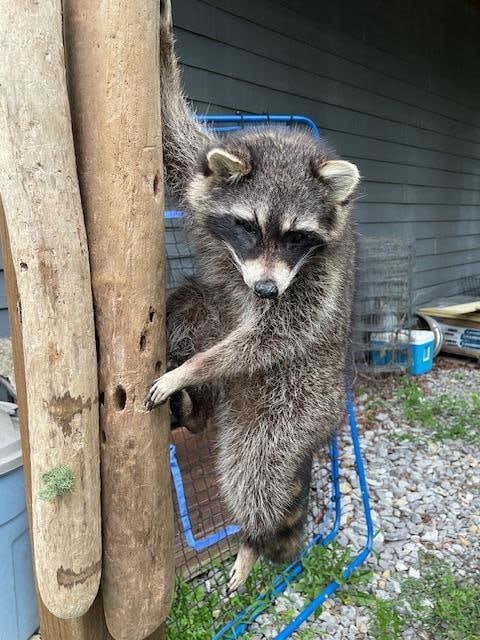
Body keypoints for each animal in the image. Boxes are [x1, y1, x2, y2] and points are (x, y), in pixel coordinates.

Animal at [146, 0, 359, 590]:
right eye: (246, 226)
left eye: (295, 236)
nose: (264, 289)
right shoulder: (200, 169)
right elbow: (173, 133)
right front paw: (163, 39)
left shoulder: (321, 278)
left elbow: (274, 334)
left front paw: (192, 367)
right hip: (220, 337)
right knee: (191, 305)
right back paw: (194, 411)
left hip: (295, 405)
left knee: (256, 468)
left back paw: (252, 538)